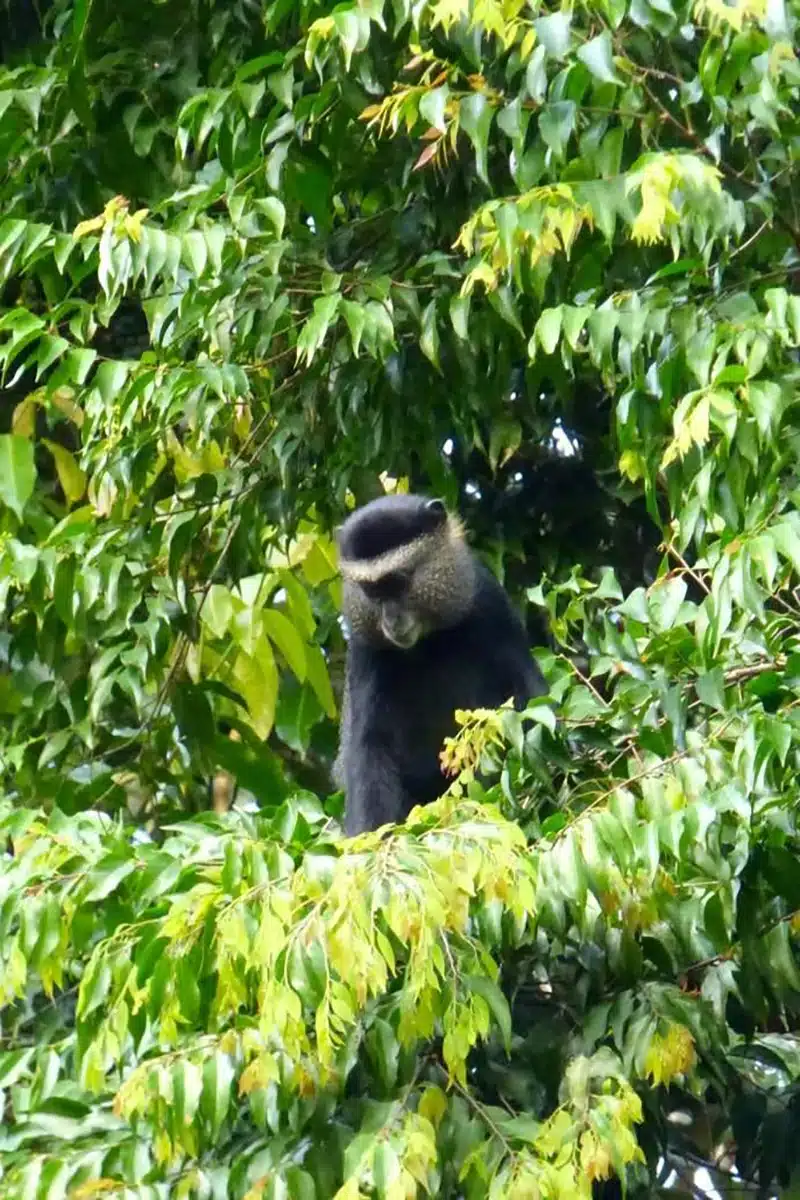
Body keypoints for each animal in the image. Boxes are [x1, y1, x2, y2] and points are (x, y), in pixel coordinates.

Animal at [331, 494, 544, 835]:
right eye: (372, 591)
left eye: (399, 581)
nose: (391, 619)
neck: (427, 641)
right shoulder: (366, 647)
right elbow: (370, 746)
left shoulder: (487, 599)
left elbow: (527, 693)